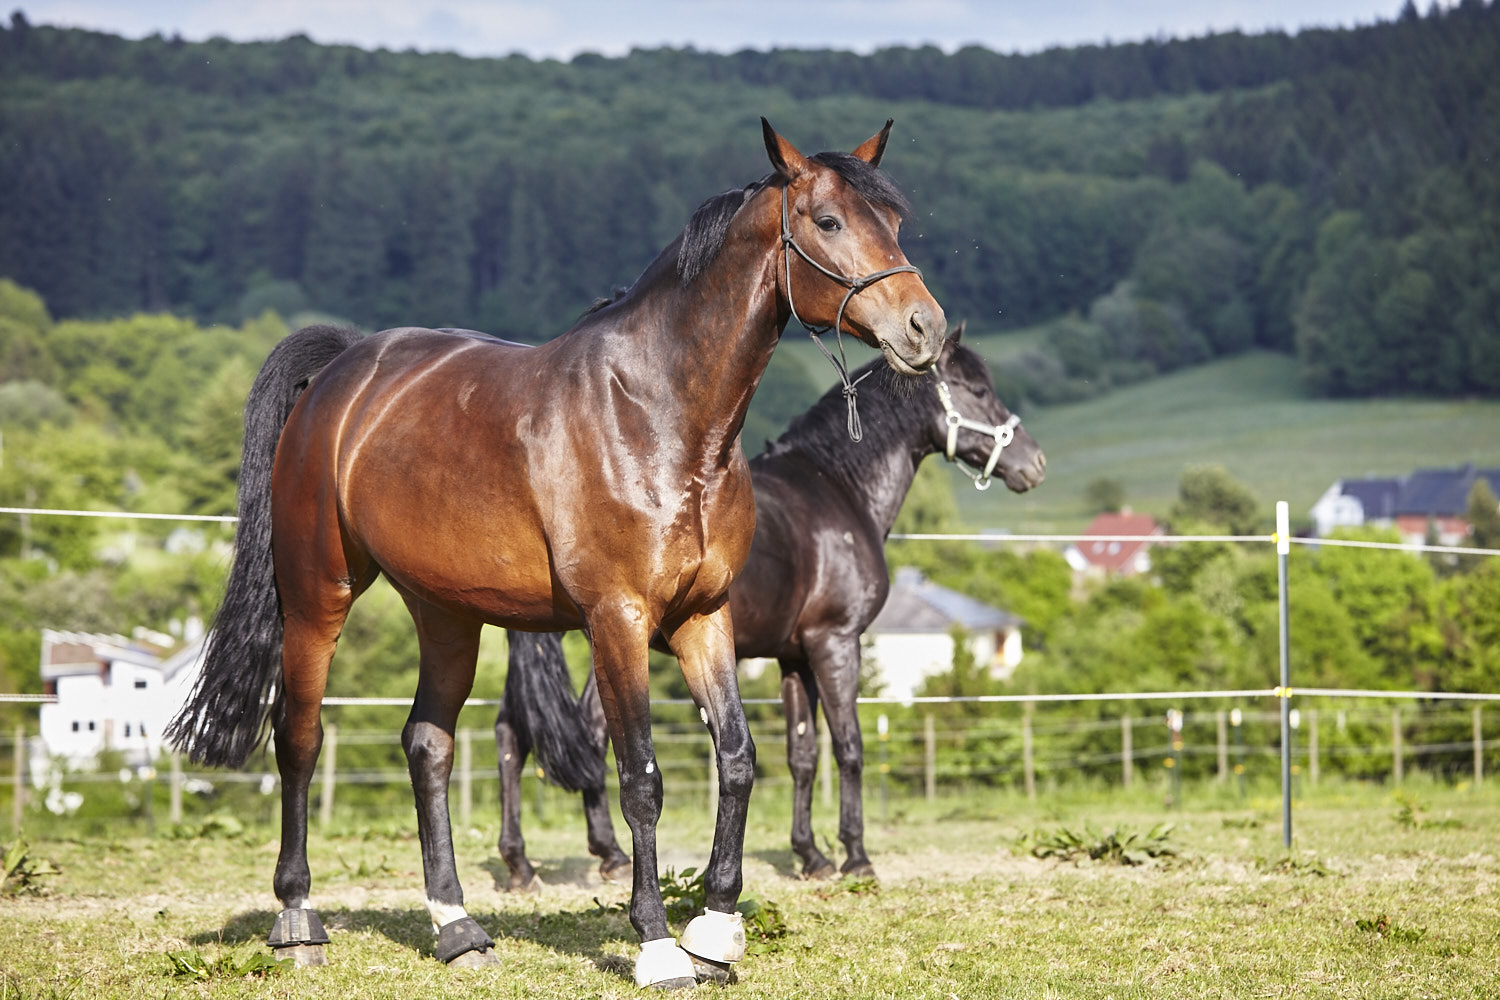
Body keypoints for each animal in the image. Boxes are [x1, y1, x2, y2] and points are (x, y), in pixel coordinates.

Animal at [170, 121, 942, 989]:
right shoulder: (618, 621)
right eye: (828, 221)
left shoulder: (705, 618)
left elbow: (739, 759)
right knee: (299, 739)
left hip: (446, 615)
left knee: (428, 745)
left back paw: (457, 926)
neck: (659, 416)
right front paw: (656, 945)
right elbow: (639, 777)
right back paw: (298, 919)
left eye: (895, 222)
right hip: (317, 596)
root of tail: (341, 371)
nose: (925, 327)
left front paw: (714, 933)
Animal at [492, 329, 1044, 893]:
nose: (1035, 462)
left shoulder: (794, 657)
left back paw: (532, 863)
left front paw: (811, 855)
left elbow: (803, 755)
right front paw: (855, 856)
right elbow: (849, 747)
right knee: (575, 733)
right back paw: (595, 857)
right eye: (977, 390)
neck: (838, 489)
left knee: (519, 734)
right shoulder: (835, 642)